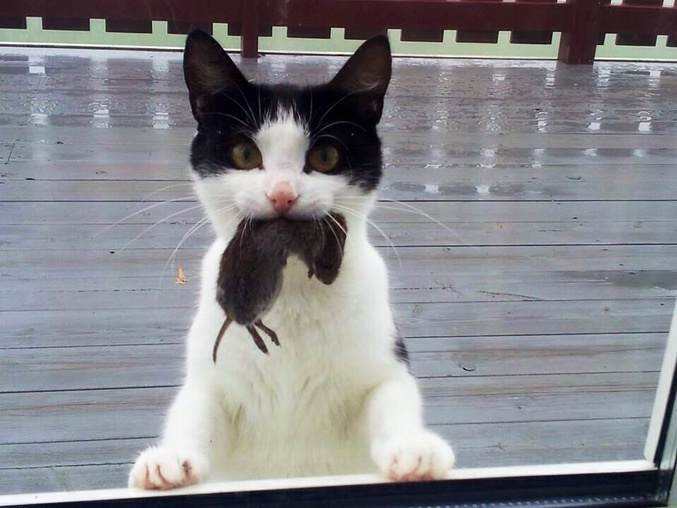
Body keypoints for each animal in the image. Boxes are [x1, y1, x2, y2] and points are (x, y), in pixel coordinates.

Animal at [127, 29, 454, 490]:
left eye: (325, 156)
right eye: (245, 154)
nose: (282, 194)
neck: (290, 285)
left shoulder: (383, 364)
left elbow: (390, 397)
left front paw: (413, 449)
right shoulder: (213, 378)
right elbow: (196, 409)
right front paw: (170, 459)